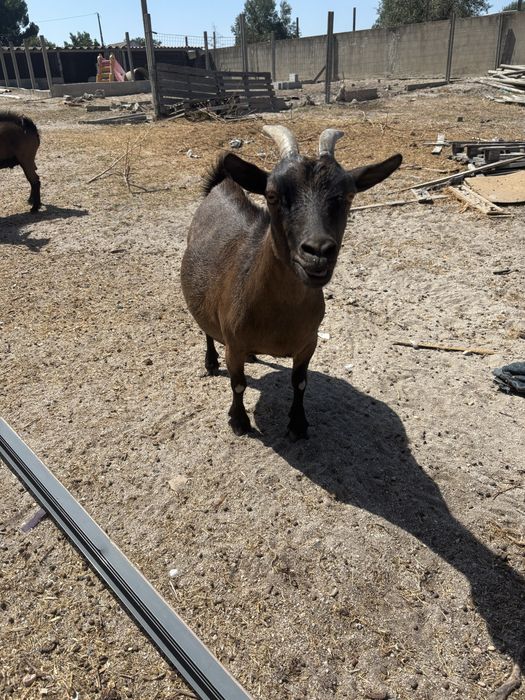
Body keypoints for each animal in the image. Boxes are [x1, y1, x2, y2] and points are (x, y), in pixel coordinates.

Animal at [181, 125, 402, 439]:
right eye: (272, 195)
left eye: (347, 196)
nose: (318, 252)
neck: (277, 320)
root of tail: (221, 185)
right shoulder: (233, 344)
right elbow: (238, 384)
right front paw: (239, 422)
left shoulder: (308, 342)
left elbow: (300, 383)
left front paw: (298, 424)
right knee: (206, 330)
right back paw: (210, 363)